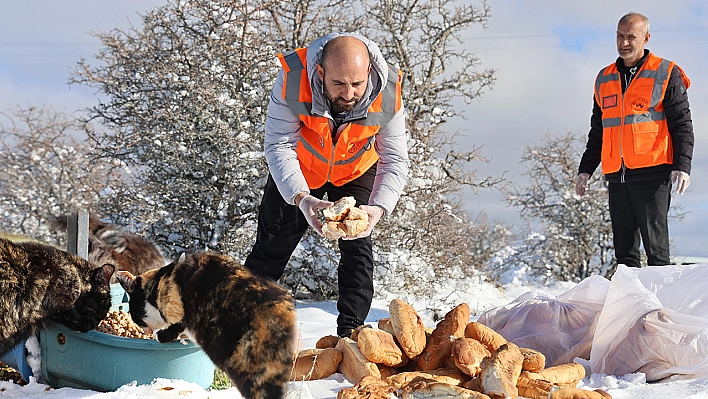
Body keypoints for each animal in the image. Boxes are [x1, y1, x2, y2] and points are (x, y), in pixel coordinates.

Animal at [117, 253, 294, 399]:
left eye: (135, 315)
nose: (144, 329)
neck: (159, 283)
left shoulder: (177, 307)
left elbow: (175, 326)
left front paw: (159, 335)